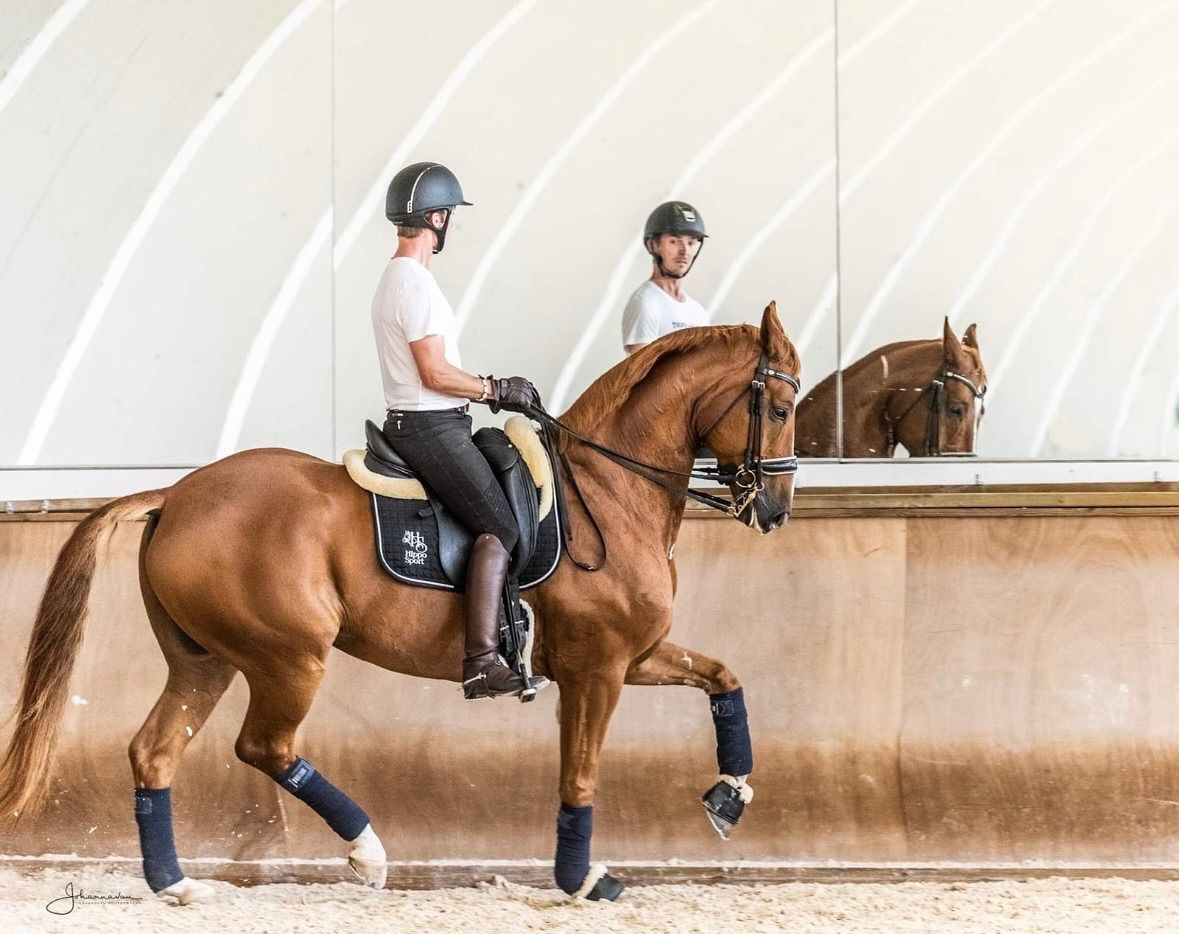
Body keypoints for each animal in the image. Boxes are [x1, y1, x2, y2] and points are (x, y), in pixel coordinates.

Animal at [0, 306, 801, 905]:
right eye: (783, 405)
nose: (774, 510)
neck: (607, 492)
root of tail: (177, 494)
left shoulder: (633, 655)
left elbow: (724, 678)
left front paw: (730, 794)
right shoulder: (596, 667)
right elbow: (580, 773)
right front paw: (581, 878)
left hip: (206, 660)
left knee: (156, 750)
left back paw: (175, 884)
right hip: (289, 655)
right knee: (264, 747)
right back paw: (368, 852)